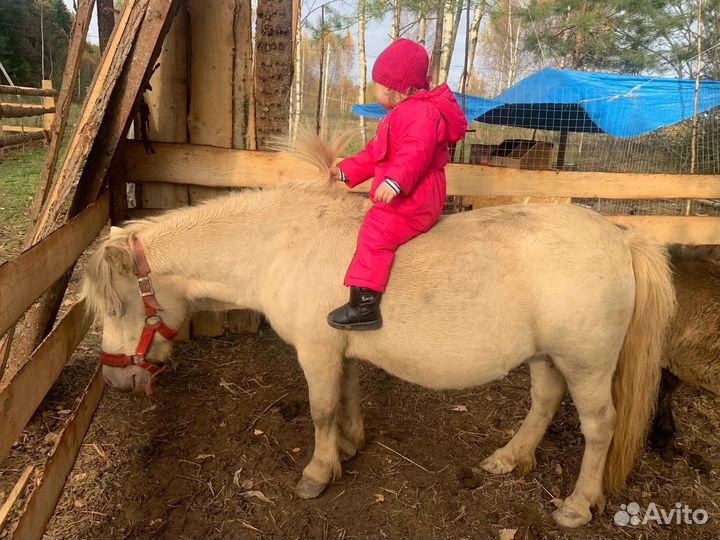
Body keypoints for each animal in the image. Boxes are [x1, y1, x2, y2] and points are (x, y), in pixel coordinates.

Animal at [83, 132, 676, 528]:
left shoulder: (317, 350)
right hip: (548, 357)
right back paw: (510, 458)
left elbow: (321, 410)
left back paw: (577, 504)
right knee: (544, 402)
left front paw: (318, 472)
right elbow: (346, 399)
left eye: (116, 308)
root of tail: (621, 235)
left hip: (587, 363)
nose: (116, 381)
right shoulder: (338, 350)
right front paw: (348, 447)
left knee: (599, 428)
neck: (281, 244)